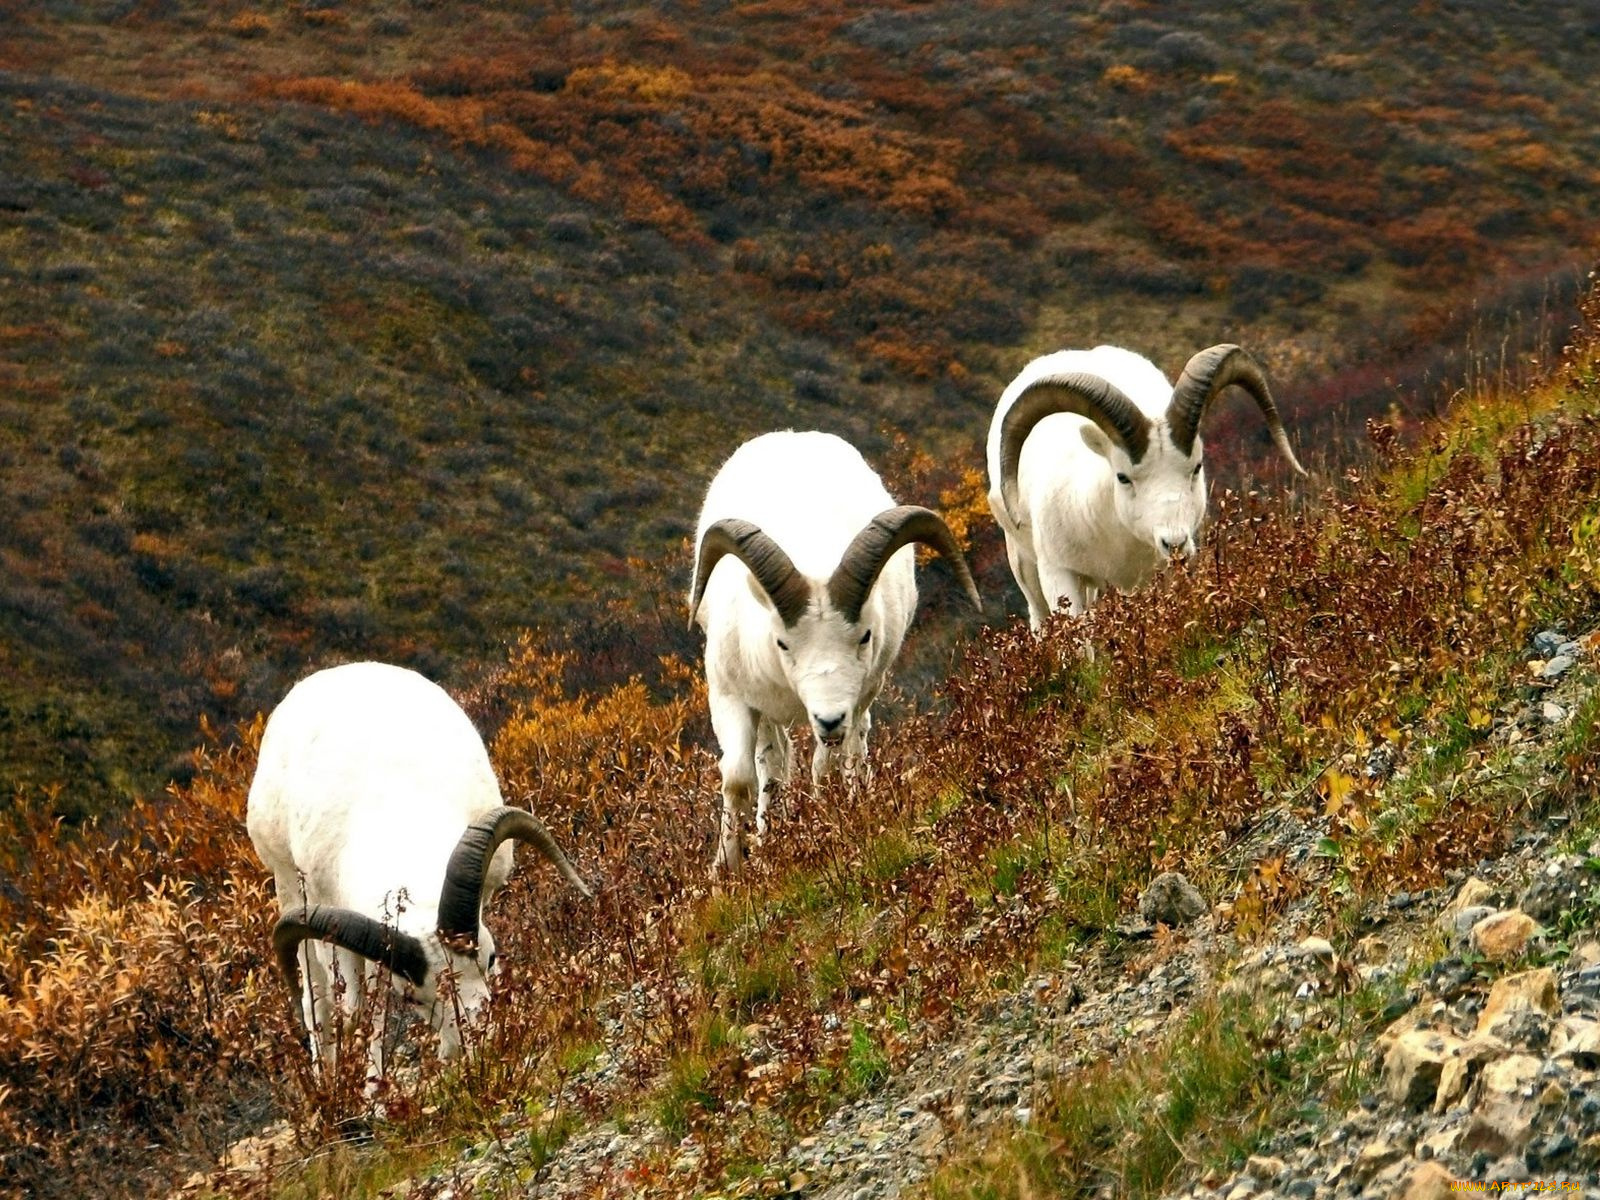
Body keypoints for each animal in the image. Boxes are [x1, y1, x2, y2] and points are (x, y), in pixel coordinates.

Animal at [246, 661, 591, 1074]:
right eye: (414, 998)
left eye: (490, 958)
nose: (482, 1044)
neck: (397, 803)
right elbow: (364, 1010)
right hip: (288, 889)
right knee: (320, 1000)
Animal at [687, 430, 981, 874]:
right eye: (783, 642)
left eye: (863, 636)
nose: (828, 719)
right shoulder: (730, 697)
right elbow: (739, 779)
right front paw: (727, 871)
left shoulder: (855, 698)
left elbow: (826, 766)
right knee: (773, 763)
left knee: (847, 750)